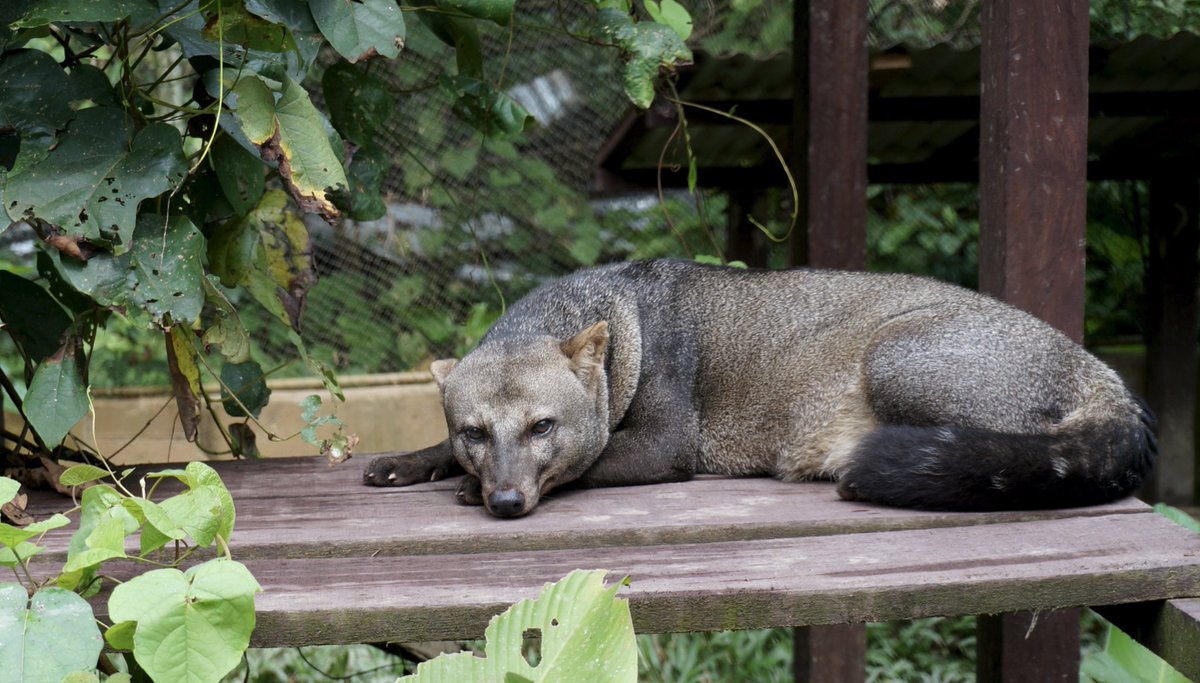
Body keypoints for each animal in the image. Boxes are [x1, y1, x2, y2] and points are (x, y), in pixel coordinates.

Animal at [362, 259, 1152, 516]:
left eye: (542, 427)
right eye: (474, 431)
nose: (502, 499)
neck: (628, 320)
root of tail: (1105, 375)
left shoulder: (666, 445)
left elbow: (591, 462)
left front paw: (462, 489)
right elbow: (431, 448)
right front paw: (407, 462)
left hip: (894, 358)